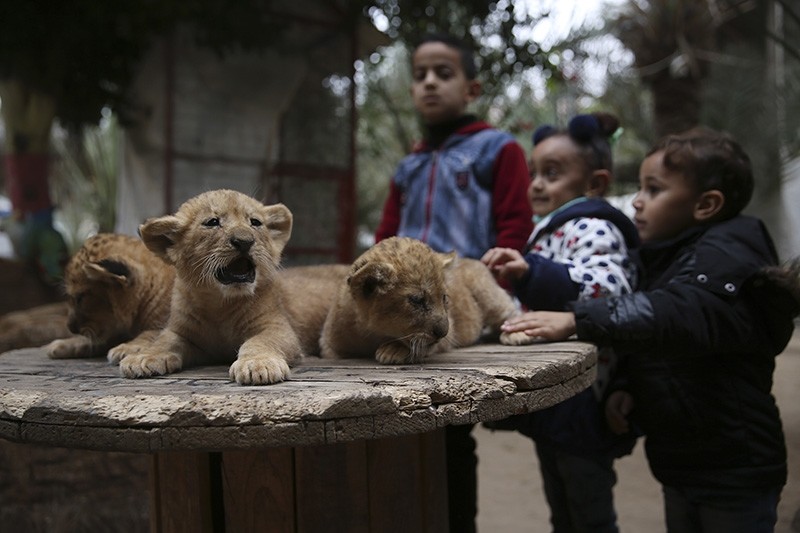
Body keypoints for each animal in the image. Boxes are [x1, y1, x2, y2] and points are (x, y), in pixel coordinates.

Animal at [116, 189, 305, 385]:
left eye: (255, 222)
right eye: (212, 222)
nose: (244, 241)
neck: (220, 303)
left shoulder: (277, 327)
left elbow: (261, 341)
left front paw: (258, 364)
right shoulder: (182, 332)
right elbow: (164, 341)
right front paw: (143, 358)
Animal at [319, 236, 520, 364]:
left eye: (444, 297)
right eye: (417, 300)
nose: (443, 332)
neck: (371, 334)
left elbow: (421, 345)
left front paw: (393, 350)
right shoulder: (329, 346)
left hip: (488, 293)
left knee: (510, 311)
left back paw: (515, 334)